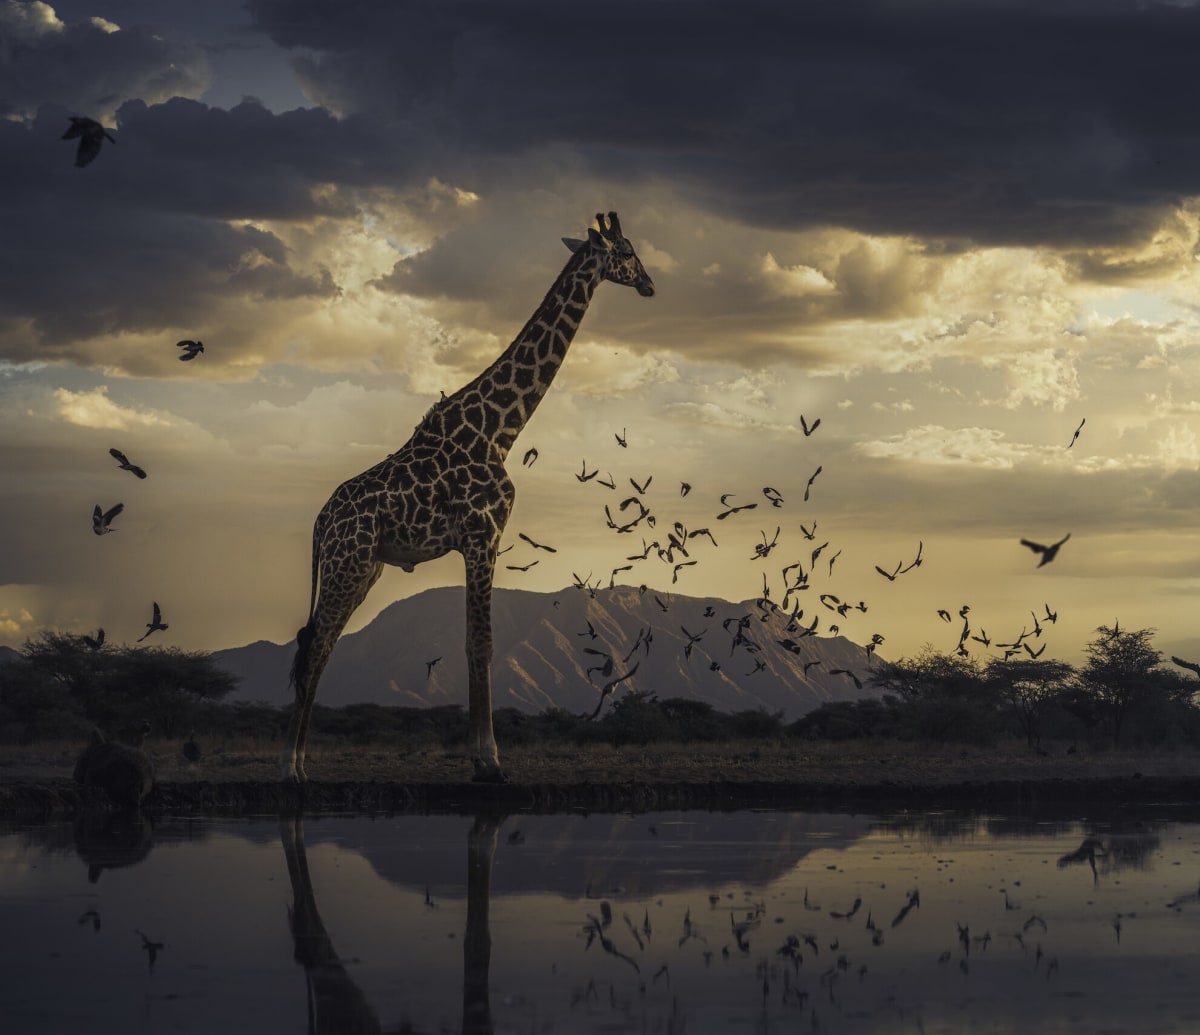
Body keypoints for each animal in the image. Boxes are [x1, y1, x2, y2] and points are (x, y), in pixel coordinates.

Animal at [282, 211, 655, 782]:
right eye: (628, 251)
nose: (650, 284)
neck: (500, 429)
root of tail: (322, 522)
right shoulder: (485, 534)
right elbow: (481, 643)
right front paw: (489, 760)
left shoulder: (477, 542)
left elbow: (469, 642)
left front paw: (482, 756)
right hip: (349, 563)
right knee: (319, 643)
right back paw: (292, 766)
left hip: (366, 567)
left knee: (320, 647)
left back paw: (300, 763)